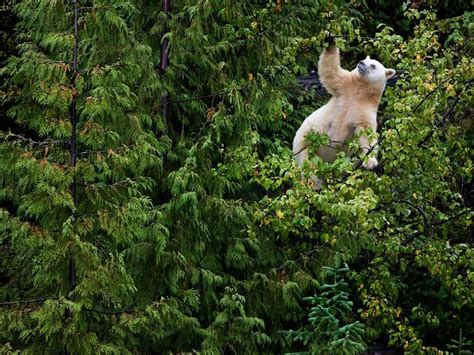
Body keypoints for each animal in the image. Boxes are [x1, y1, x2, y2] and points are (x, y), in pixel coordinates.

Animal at [294, 36, 394, 189]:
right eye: (364, 59)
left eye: (373, 65)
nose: (361, 63)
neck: (360, 91)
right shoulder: (344, 87)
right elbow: (331, 73)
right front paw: (330, 40)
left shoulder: (365, 110)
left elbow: (367, 133)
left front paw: (370, 162)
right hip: (305, 142)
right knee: (308, 164)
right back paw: (315, 184)